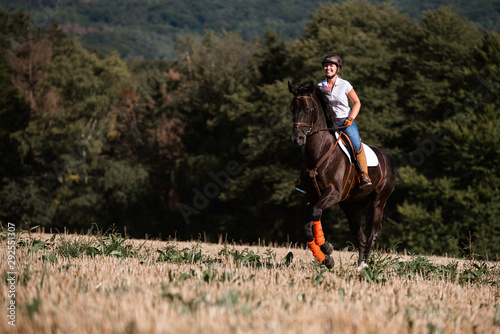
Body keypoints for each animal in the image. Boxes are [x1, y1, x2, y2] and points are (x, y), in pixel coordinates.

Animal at [288, 81, 396, 272]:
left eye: (307, 108)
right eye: (292, 107)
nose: (297, 138)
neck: (320, 151)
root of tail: (387, 157)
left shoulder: (334, 193)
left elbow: (316, 213)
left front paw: (326, 247)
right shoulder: (313, 196)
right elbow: (307, 227)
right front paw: (325, 258)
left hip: (378, 202)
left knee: (372, 235)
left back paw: (364, 265)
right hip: (351, 208)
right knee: (361, 237)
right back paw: (359, 266)